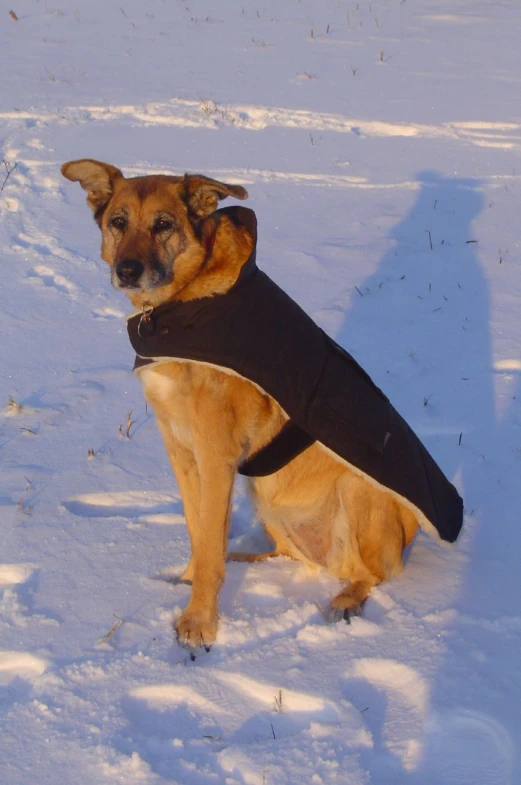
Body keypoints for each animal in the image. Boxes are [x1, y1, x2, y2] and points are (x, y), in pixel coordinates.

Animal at [61, 159, 464, 648]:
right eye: (118, 222)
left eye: (163, 225)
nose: (128, 270)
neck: (183, 299)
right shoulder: (180, 447)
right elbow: (199, 531)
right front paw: (192, 580)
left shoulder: (216, 453)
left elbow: (208, 541)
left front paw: (199, 622)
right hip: (268, 501)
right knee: (286, 555)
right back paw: (245, 560)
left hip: (356, 493)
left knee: (373, 574)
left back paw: (346, 599)